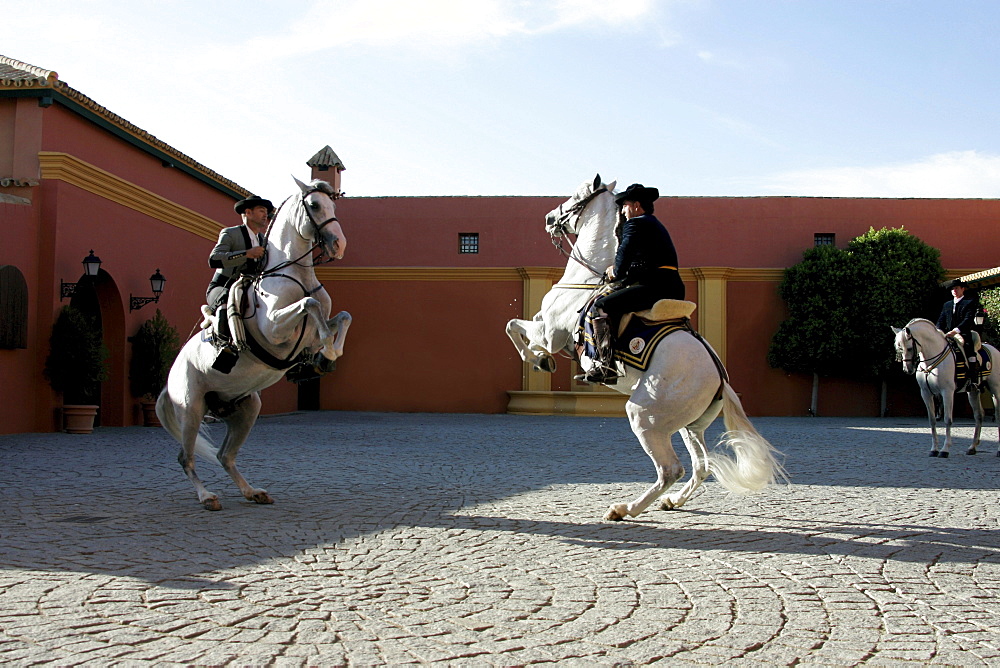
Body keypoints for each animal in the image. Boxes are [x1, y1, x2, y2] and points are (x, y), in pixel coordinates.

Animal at [158, 177, 354, 512]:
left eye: (333, 206)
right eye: (314, 205)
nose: (338, 245)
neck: (294, 274)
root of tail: (170, 375)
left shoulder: (314, 328)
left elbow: (341, 316)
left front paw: (326, 356)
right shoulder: (275, 328)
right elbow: (310, 303)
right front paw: (326, 351)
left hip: (246, 408)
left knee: (225, 455)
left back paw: (253, 492)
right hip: (191, 409)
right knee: (186, 457)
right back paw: (207, 497)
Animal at [512, 175, 784, 520]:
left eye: (577, 194)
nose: (549, 218)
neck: (586, 278)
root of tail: (720, 379)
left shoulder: (550, 334)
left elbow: (513, 327)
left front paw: (539, 361)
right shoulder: (544, 325)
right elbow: (517, 325)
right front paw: (539, 359)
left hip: (644, 415)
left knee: (671, 469)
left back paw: (624, 508)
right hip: (688, 426)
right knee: (701, 466)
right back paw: (672, 501)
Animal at [892, 318, 1000, 454]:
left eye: (910, 348)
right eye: (899, 349)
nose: (907, 370)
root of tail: (994, 349)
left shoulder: (947, 392)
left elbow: (948, 420)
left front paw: (945, 449)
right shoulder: (925, 393)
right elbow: (932, 420)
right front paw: (934, 449)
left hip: (995, 389)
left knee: (996, 414)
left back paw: (998, 450)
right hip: (973, 391)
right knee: (979, 415)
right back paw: (972, 447)